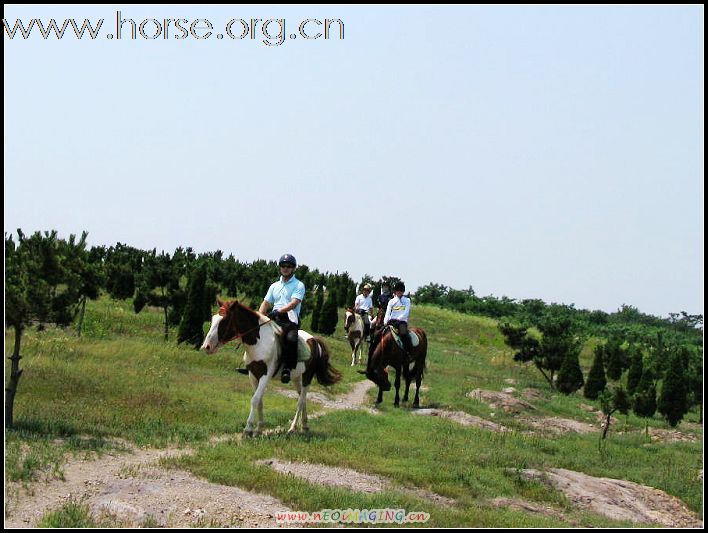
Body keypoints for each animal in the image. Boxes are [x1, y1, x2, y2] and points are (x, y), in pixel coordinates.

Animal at [199, 298, 342, 434]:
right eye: (213, 319)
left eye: (224, 321)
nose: (206, 346)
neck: (259, 342)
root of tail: (314, 339)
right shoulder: (253, 375)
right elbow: (260, 401)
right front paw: (258, 429)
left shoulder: (265, 375)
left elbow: (255, 400)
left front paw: (248, 430)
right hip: (296, 377)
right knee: (302, 397)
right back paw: (305, 425)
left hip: (308, 375)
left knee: (301, 400)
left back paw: (293, 427)